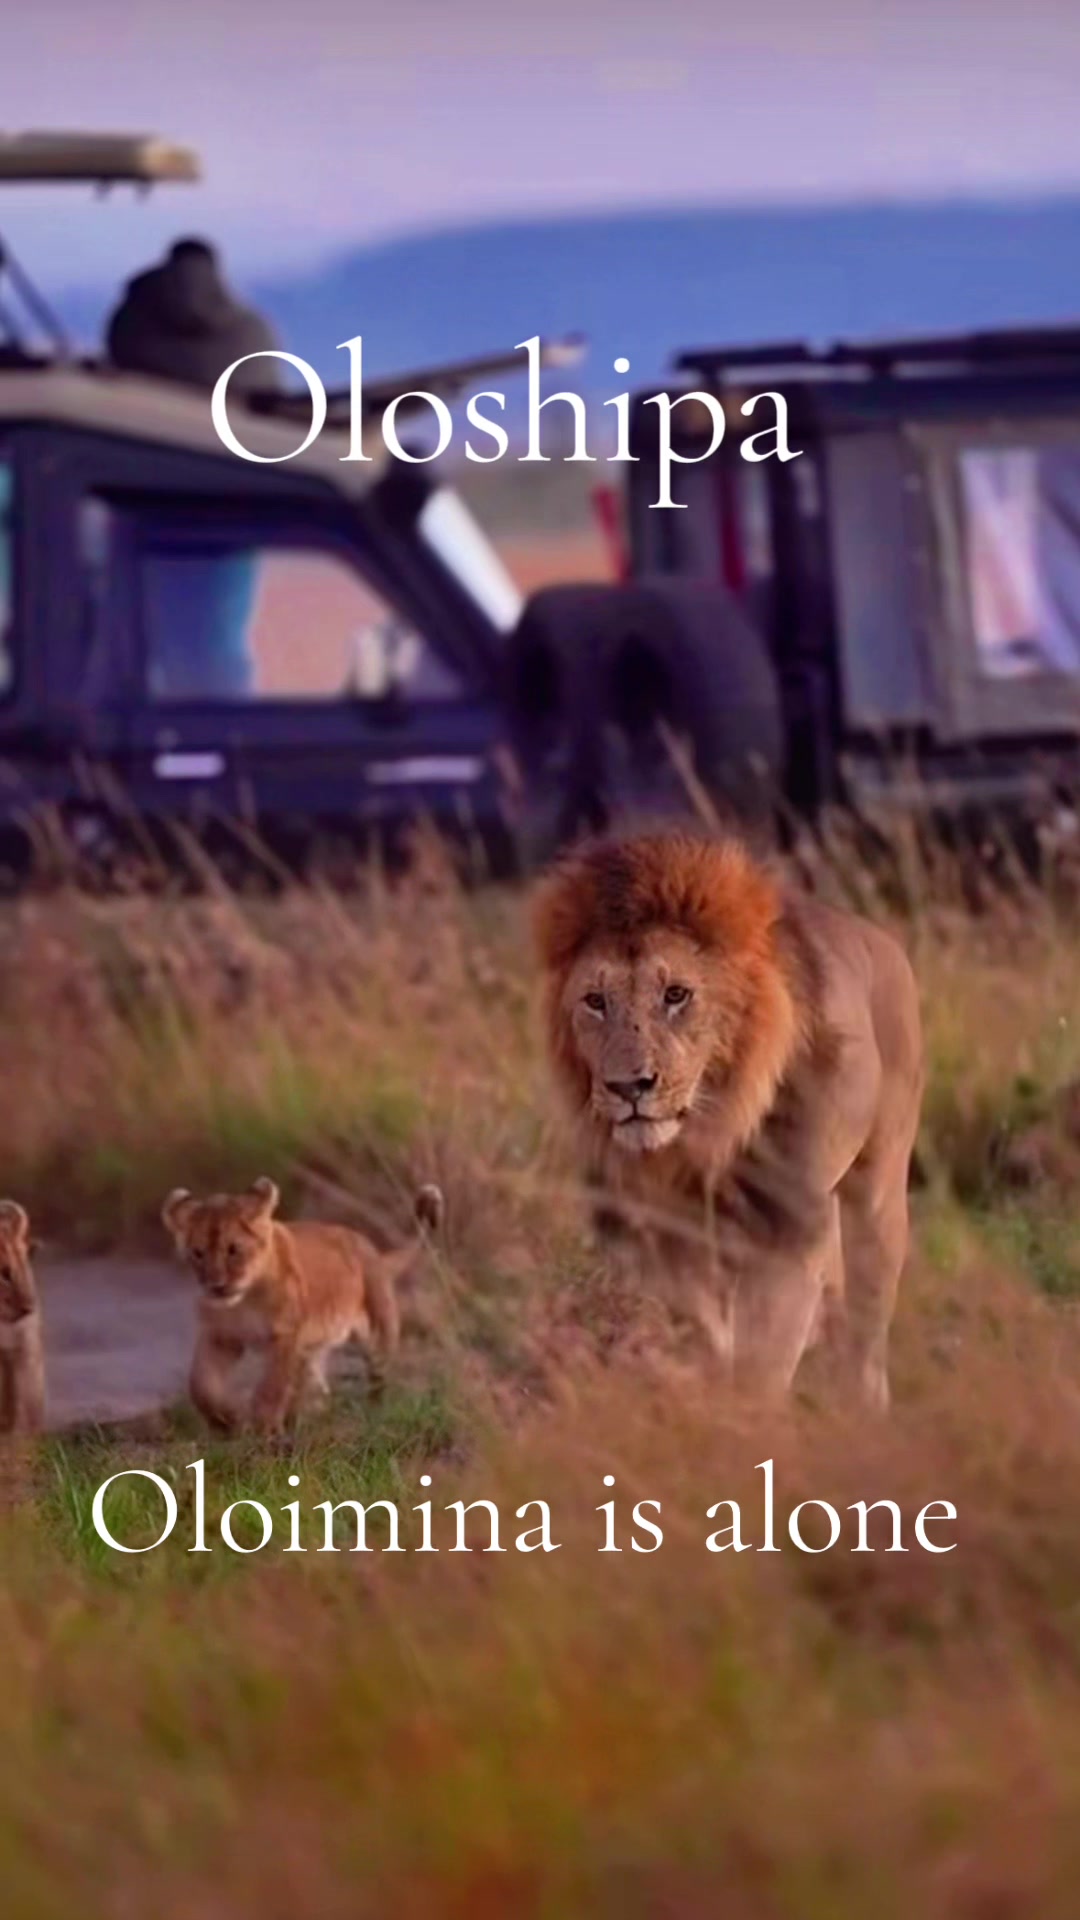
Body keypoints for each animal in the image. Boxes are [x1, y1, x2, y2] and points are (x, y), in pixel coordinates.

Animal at [162, 1176, 443, 1435]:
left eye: (233, 1249)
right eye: (197, 1253)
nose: (217, 1286)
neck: (244, 1301)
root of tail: (375, 1254)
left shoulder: (284, 1335)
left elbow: (270, 1388)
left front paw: (264, 1428)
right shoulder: (220, 1337)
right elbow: (201, 1384)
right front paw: (224, 1422)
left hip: (376, 1333)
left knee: (378, 1377)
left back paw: (373, 1413)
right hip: (312, 1350)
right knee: (317, 1388)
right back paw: (308, 1417)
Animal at [533, 831, 924, 1407]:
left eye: (676, 994)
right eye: (595, 1001)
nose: (628, 1087)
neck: (699, 1139)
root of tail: (885, 942)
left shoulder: (787, 1227)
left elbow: (761, 1364)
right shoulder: (654, 1233)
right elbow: (706, 1332)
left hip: (876, 1194)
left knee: (866, 1335)